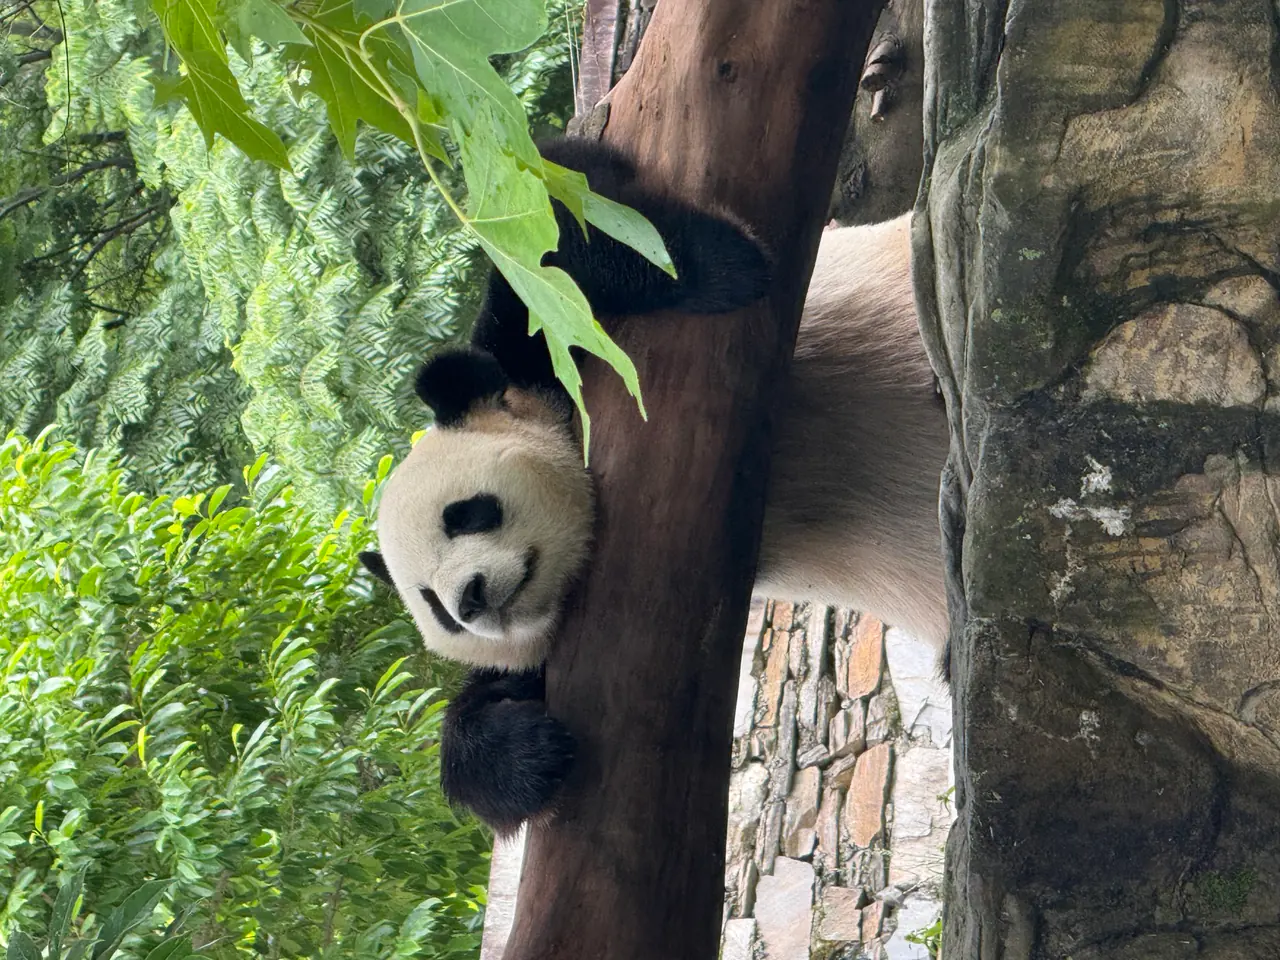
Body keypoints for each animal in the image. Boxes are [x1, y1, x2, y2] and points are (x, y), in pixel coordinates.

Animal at [358, 138, 950, 833]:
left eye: (465, 514)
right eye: (431, 605)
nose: (470, 601)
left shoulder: (538, 356)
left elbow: (561, 218)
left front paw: (718, 267)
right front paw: (523, 752)